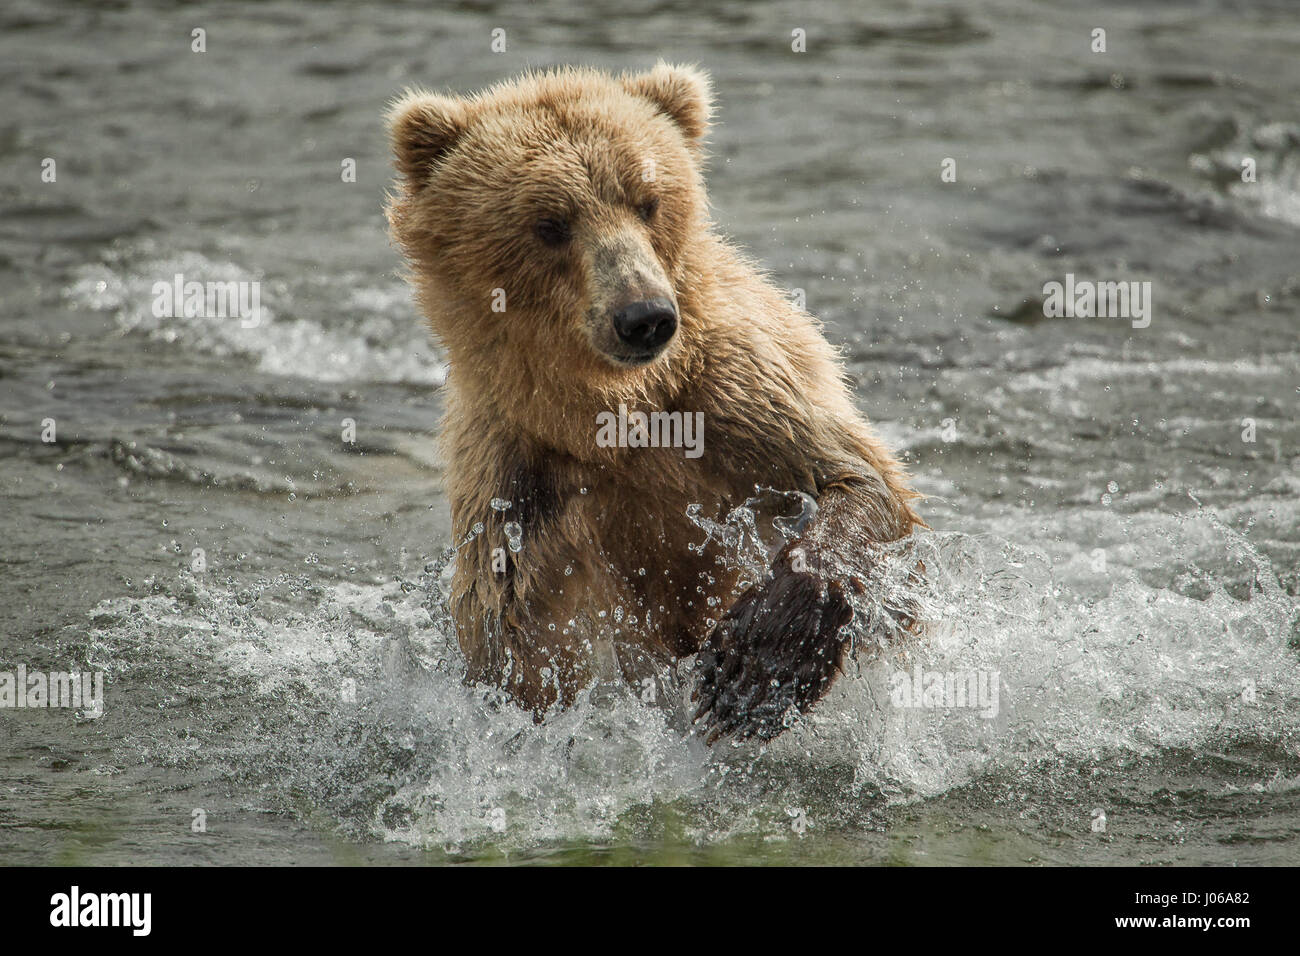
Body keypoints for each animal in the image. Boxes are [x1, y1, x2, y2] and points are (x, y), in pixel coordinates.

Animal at [384, 63, 925, 743]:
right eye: (550, 222)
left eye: (648, 200)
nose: (644, 316)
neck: (614, 414)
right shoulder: (516, 486)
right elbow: (514, 645)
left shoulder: (737, 396)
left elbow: (861, 482)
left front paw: (758, 664)